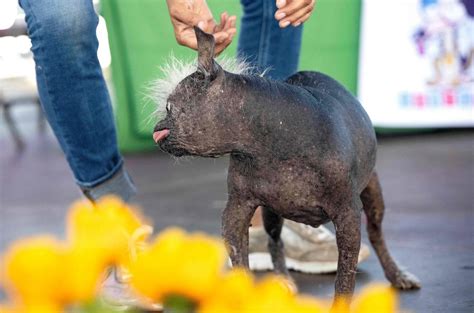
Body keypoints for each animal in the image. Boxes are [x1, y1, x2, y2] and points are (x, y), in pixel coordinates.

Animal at [152, 28, 418, 302]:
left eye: (169, 107)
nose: (156, 129)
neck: (273, 134)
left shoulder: (348, 216)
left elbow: (345, 278)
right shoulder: (236, 210)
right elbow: (240, 261)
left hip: (373, 193)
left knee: (376, 233)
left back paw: (397, 274)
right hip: (272, 213)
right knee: (274, 240)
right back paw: (283, 279)